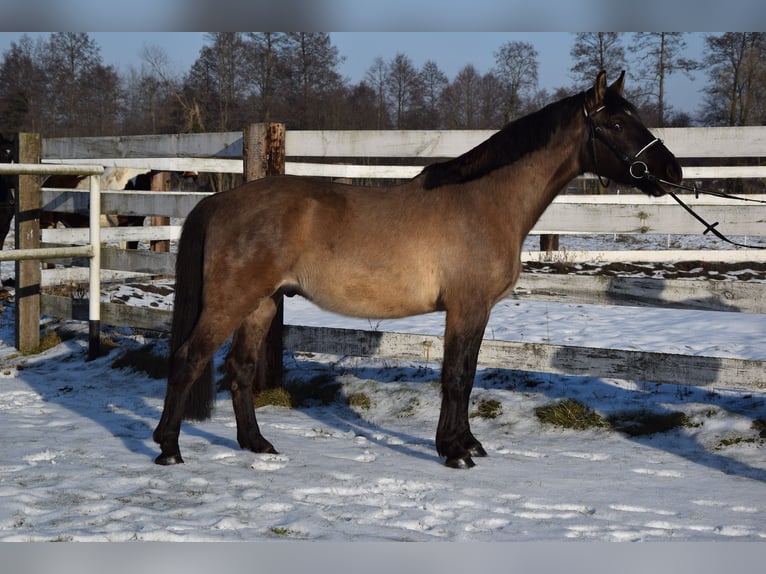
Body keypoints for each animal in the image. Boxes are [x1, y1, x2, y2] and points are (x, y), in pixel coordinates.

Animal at [153, 71, 683, 469]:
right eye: (617, 123)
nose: (673, 172)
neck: (486, 201)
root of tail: (220, 201)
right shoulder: (466, 308)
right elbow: (456, 377)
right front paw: (454, 452)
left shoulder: (476, 312)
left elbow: (466, 374)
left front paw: (467, 443)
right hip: (230, 302)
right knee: (187, 359)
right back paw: (169, 448)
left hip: (261, 304)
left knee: (240, 368)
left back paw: (257, 444)